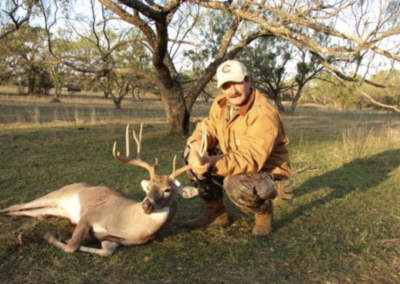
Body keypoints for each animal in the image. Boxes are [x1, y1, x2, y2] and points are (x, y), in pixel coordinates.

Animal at [0, 123, 205, 256]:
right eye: (148, 187)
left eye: (167, 190)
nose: (146, 205)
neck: (130, 225)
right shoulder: (89, 215)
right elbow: (71, 246)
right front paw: (50, 236)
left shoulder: (112, 240)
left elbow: (105, 252)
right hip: (59, 193)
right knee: (19, 205)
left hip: (59, 209)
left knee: (35, 211)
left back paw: (37, 218)